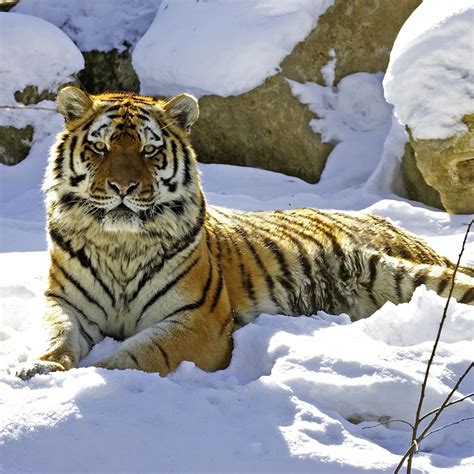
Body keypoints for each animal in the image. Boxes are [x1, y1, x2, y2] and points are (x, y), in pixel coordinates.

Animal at [15, 86, 474, 382]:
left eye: (149, 150)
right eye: (101, 147)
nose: (123, 187)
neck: (121, 244)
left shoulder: (199, 318)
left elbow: (140, 354)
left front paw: (90, 376)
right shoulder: (66, 302)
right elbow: (56, 334)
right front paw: (39, 368)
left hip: (402, 272)